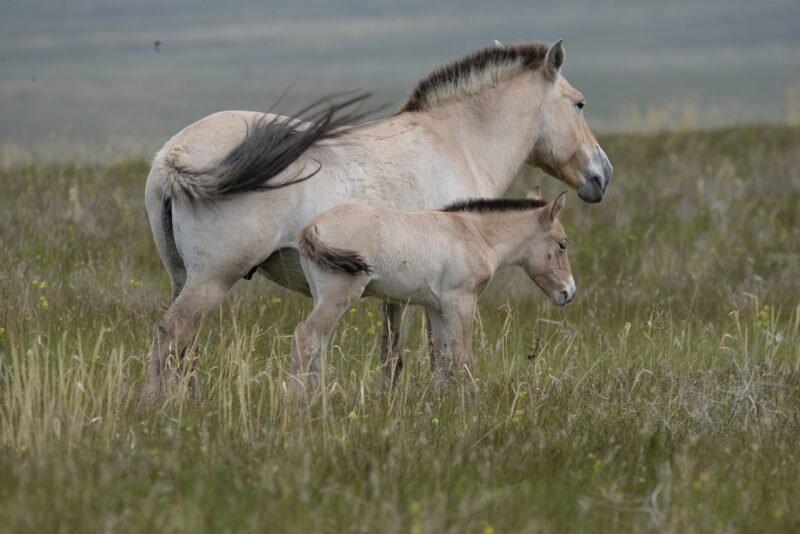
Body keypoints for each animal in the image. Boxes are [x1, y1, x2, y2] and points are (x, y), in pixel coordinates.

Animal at [294, 192, 576, 390]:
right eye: (562, 244)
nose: (568, 293)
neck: (474, 234)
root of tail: (312, 226)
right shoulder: (462, 303)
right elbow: (464, 359)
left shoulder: (438, 309)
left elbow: (442, 360)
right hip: (338, 297)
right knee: (306, 338)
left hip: (323, 297)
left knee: (319, 347)